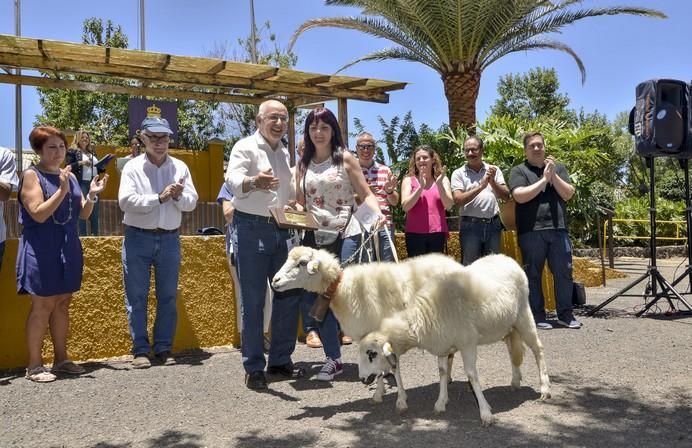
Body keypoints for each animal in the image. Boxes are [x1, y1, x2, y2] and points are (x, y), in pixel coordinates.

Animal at [274, 247, 462, 400]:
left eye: (302, 263)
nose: (275, 281)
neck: (342, 288)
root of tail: (454, 264)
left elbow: (392, 366)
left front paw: (395, 395)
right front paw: (379, 391)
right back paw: (448, 378)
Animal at [356, 254, 552, 426]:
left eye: (372, 354)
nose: (363, 379)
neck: (422, 318)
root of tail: (508, 259)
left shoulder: (467, 343)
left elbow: (472, 375)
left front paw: (485, 413)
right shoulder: (443, 345)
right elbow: (442, 372)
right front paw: (441, 403)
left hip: (523, 316)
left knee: (538, 349)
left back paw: (545, 388)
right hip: (507, 325)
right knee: (512, 349)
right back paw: (515, 380)